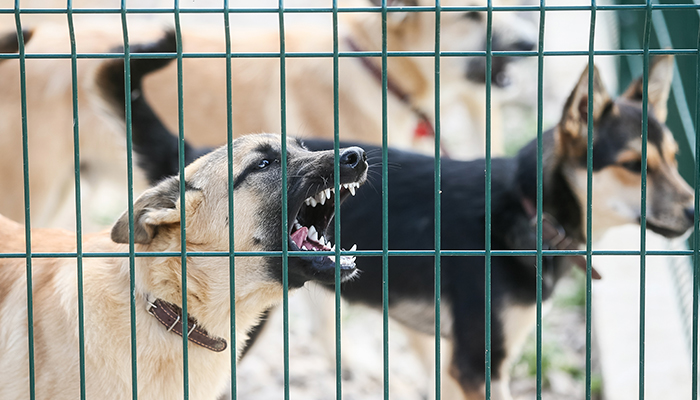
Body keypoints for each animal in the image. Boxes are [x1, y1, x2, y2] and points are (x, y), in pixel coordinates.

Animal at [110, 46, 696, 396]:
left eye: (672, 156)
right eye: (635, 166)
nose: (694, 211)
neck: (529, 210)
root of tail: (196, 156)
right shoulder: (478, 365)